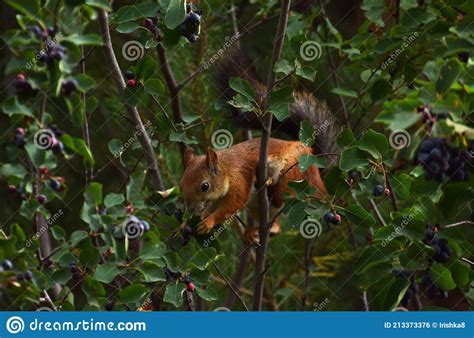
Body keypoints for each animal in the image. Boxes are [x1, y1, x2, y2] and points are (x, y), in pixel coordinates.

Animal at [180, 49, 338, 240]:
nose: (191, 209)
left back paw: (270, 184)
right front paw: (186, 223)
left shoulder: (239, 178)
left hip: (294, 170)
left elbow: (235, 203)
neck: (225, 169)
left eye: (205, 186)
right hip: (257, 206)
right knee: (276, 225)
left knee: (282, 192)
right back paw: (256, 231)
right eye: (181, 185)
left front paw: (209, 222)